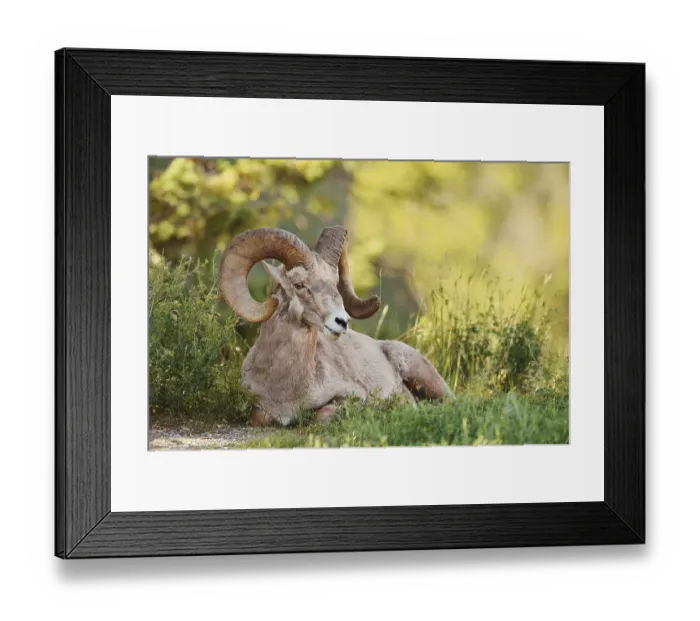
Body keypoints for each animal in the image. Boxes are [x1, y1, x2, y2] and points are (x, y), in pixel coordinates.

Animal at [219, 226, 453, 426]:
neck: (284, 386)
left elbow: (321, 416)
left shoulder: (350, 396)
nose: (342, 322)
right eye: (299, 285)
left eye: (335, 284)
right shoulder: (260, 411)